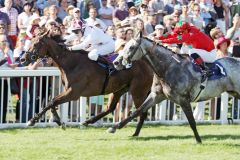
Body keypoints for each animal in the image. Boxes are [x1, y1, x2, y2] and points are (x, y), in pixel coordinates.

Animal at [19, 30, 153, 136]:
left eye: (35, 44)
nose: (22, 59)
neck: (71, 63)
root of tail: (148, 65)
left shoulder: (74, 93)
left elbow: (52, 102)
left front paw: (32, 121)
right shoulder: (68, 91)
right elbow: (52, 102)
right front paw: (58, 121)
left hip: (138, 91)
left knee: (142, 111)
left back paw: (135, 133)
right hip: (119, 89)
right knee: (110, 108)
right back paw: (87, 122)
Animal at [111, 33, 240, 143]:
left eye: (131, 47)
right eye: (124, 45)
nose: (116, 62)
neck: (168, 67)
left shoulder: (183, 99)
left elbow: (192, 121)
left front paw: (199, 140)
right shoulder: (156, 95)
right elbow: (137, 111)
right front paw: (115, 127)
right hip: (234, 92)